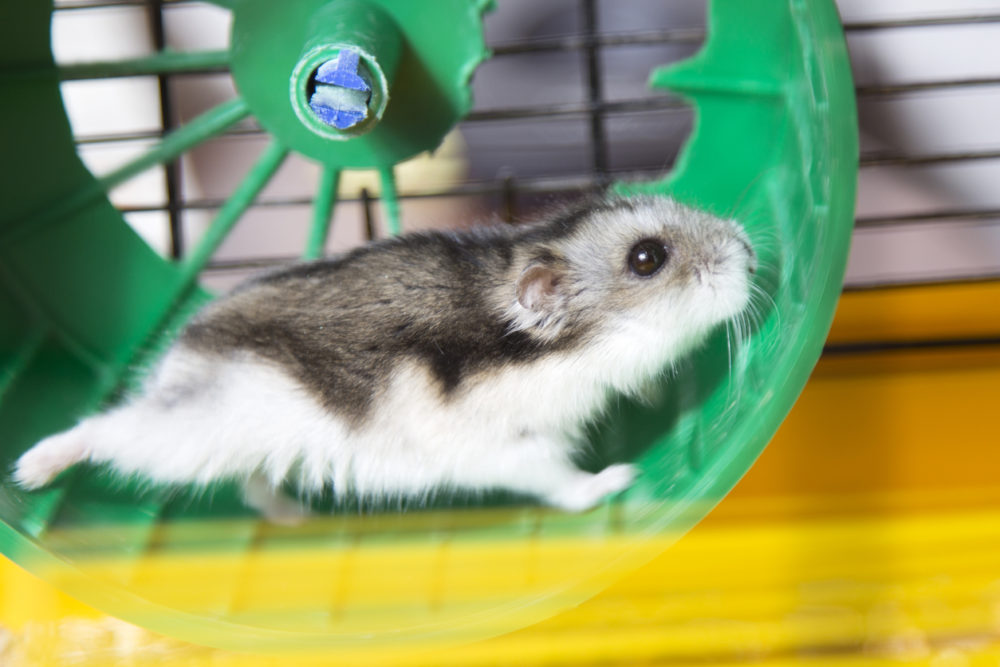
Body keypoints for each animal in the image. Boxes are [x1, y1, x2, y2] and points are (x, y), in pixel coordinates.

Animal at [13, 195, 755, 515]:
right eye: (647, 258)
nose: (750, 249)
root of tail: (179, 351)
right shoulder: (515, 449)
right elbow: (561, 482)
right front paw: (619, 479)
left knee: (249, 485)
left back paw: (298, 515)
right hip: (186, 433)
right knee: (107, 429)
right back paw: (30, 470)